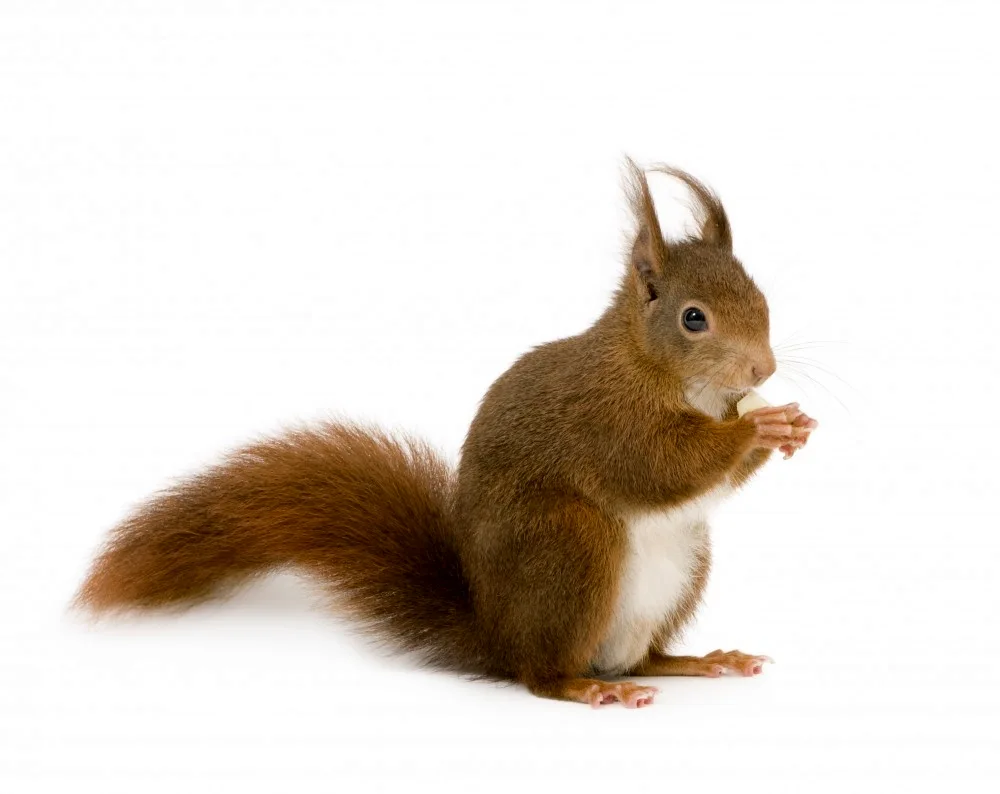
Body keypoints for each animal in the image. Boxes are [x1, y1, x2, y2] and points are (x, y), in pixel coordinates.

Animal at [76, 159, 812, 704]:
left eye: (761, 297)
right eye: (694, 319)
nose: (764, 369)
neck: (660, 371)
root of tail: (497, 635)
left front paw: (790, 426)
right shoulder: (606, 419)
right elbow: (657, 466)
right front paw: (758, 427)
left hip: (683, 562)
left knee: (640, 657)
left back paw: (697, 660)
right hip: (571, 546)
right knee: (543, 676)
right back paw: (584, 686)